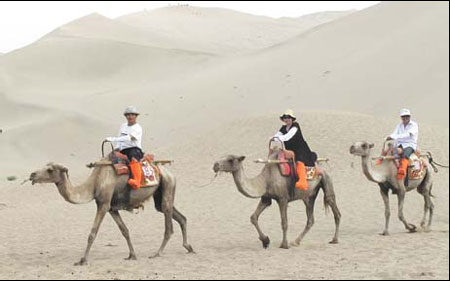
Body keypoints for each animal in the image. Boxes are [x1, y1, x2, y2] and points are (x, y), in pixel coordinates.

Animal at [29, 160, 194, 264]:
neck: (94, 184)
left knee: (168, 222)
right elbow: (124, 230)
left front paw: (83, 260)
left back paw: (158, 253)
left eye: (50, 170)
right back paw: (188, 247)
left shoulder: (103, 204)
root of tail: (169, 173)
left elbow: (92, 233)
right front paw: (132, 255)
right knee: (180, 216)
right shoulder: (111, 208)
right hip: (161, 192)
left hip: (167, 184)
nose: (32, 175)